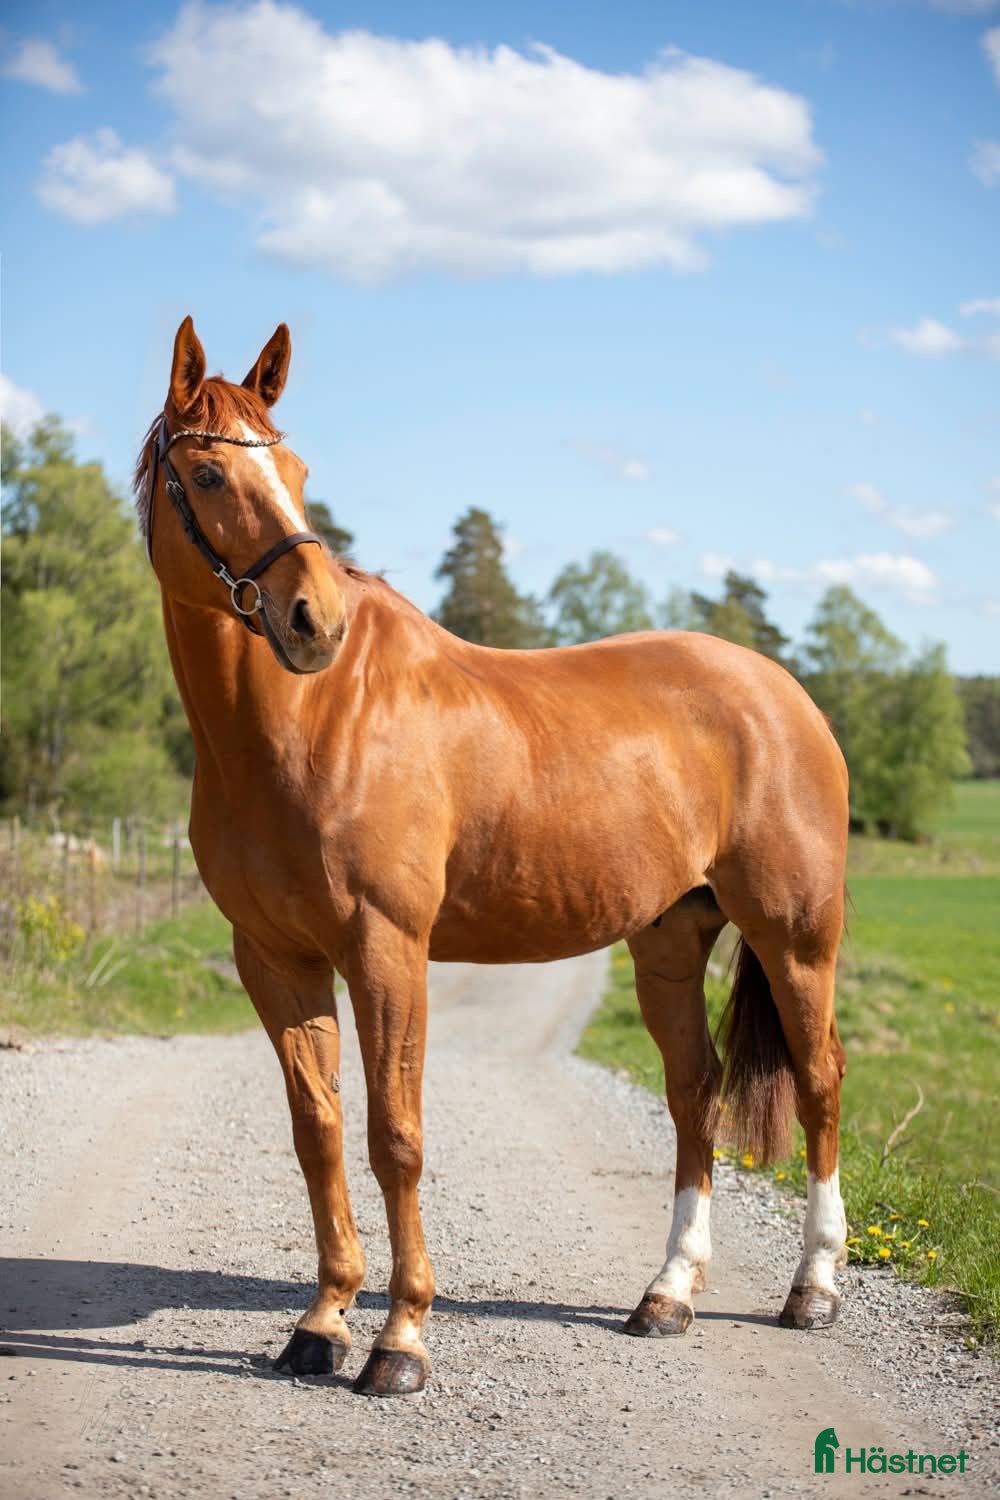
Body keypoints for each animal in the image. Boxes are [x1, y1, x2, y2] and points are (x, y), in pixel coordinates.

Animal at [135, 316, 850, 1397]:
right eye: (210, 472)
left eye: (296, 469)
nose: (315, 623)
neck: (309, 723)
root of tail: (785, 692)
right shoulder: (275, 958)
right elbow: (319, 1133)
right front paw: (321, 1323)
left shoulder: (387, 950)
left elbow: (395, 1137)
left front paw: (399, 1341)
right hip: (669, 940)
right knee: (696, 1091)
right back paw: (667, 1295)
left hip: (795, 937)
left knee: (817, 1084)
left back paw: (812, 1290)